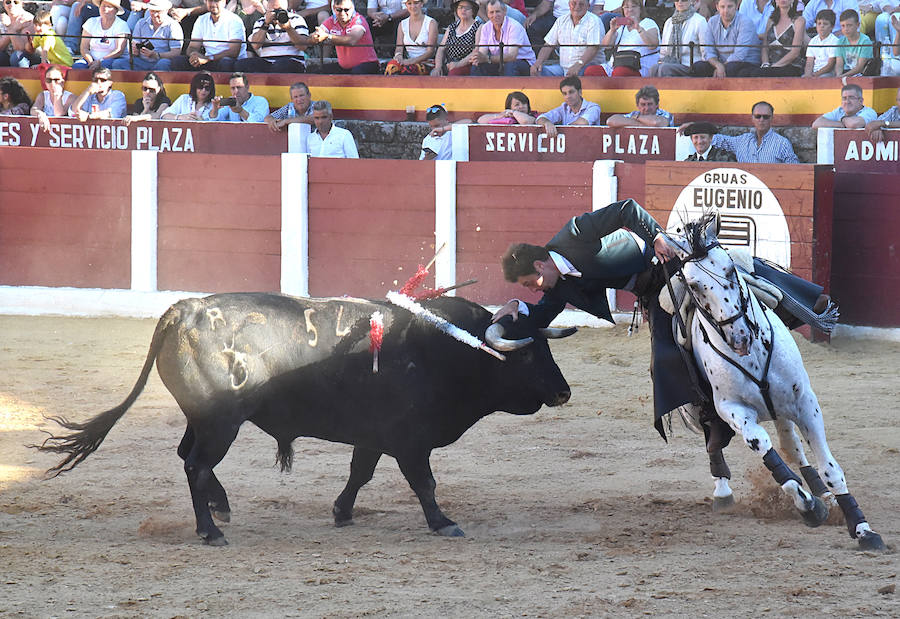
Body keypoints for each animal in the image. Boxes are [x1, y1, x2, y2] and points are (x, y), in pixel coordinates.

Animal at [38, 294, 572, 544]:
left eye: (546, 347)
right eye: (528, 354)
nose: (564, 391)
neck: (448, 350)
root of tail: (183, 311)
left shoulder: (374, 436)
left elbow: (360, 473)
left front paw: (342, 512)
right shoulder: (410, 440)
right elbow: (425, 483)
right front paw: (443, 523)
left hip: (203, 419)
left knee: (189, 458)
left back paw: (220, 507)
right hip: (221, 422)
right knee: (196, 465)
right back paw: (211, 530)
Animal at [668, 214, 884, 552]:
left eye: (729, 268)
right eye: (693, 285)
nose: (740, 337)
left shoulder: (805, 403)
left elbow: (829, 468)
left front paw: (862, 528)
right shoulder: (732, 409)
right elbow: (767, 451)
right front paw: (808, 506)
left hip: (784, 407)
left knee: (792, 445)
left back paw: (822, 492)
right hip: (710, 408)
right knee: (719, 443)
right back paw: (724, 492)